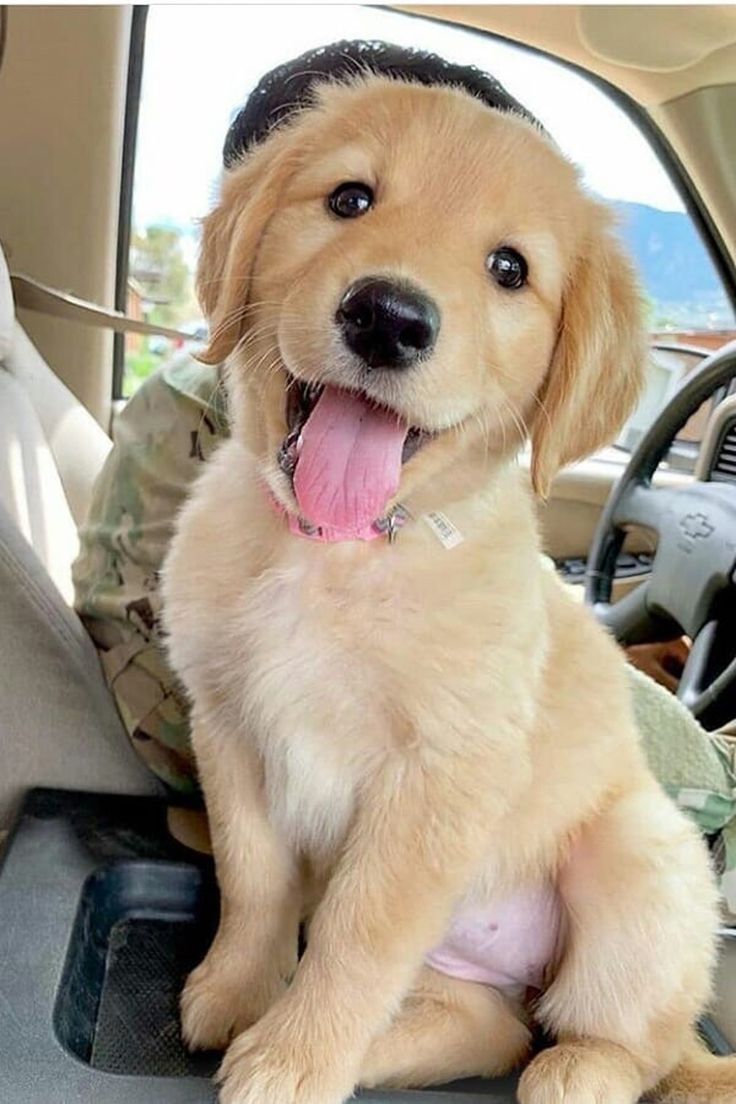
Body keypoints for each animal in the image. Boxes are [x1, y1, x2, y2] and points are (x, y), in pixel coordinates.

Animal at [162, 62, 736, 1104]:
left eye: (508, 268)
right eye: (350, 199)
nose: (388, 318)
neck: (338, 549)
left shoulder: (439, 781)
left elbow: (356, 937)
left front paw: (293, 1063)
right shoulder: (227, 726)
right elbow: (254, 880)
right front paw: (239, 994)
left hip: (640, 854)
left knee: (629, 1046)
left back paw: (576, 1073)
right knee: (494, 1029)